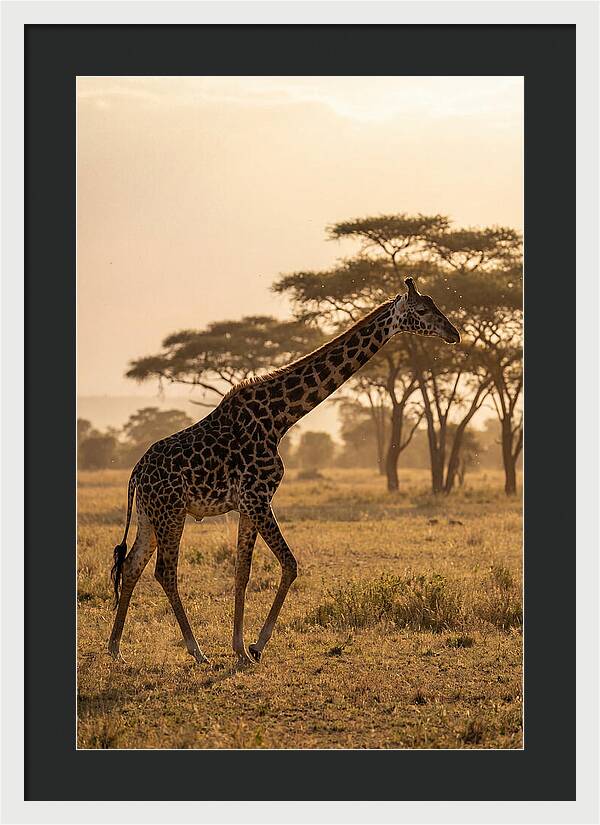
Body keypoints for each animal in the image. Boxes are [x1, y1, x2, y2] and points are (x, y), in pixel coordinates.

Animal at [108, 277, 460, 665]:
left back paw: (115, 649)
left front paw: (240, 649)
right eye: (423, 310)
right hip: (171, 512)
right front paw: (256, 646)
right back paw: (196, 652)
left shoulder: (248, 505)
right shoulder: (258, 497)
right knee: (165, 571)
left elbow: (242, 571)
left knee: (131, 565)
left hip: (150, 515)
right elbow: (290, 564)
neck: (280, 418)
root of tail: (136, 473)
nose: (454, 334)